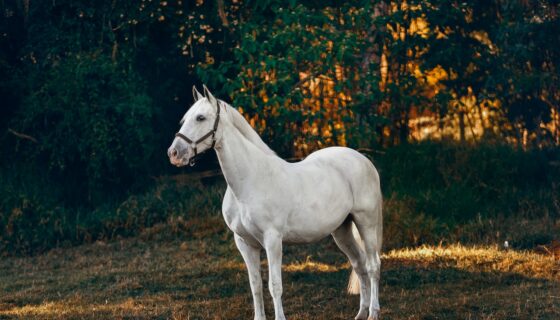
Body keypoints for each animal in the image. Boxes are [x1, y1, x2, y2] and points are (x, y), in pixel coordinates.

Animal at [168, 85, 382, 320]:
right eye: (184, 119)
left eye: (201, 118)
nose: (174, 153)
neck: (249, 181)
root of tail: (363, 160)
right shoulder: (244, 243)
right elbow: (255, 286)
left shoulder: (272, 240)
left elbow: (275, 285)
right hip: (342, 230)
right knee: (359, 264)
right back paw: (361, 313)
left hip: (366, 222)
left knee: (373, 265)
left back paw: (373, 312)